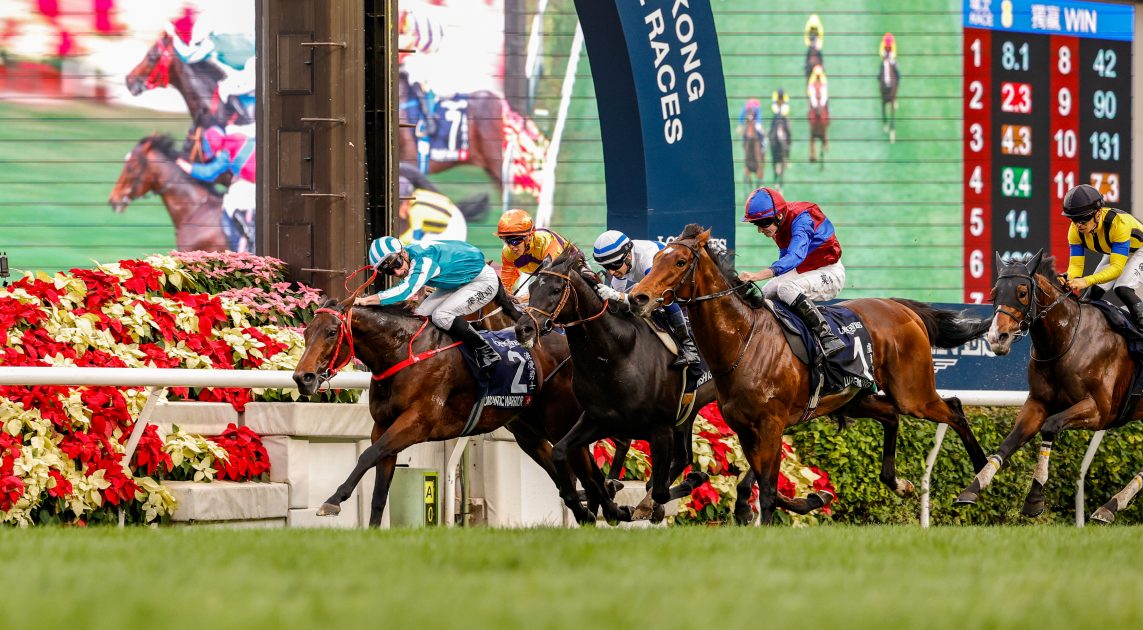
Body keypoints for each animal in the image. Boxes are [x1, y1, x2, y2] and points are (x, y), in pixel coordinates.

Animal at [294, 294, 617, 528]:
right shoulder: (383, 427)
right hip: (528, 430)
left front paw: (333, 500)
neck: (402, 353)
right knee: (563, 469)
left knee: (585, 470)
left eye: (332, 332)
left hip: (561, 421)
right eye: (307, 331)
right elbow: (378, 488)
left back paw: (606, 509)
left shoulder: (417, 423)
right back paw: (595, 512)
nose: (302, 378)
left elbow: (367, 455)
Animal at [516, 249, 754, 525]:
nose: (523, 328)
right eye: (532, 288)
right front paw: (585, 508)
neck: (618, 355)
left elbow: (659, 490)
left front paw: (644, 503)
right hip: (689, 410)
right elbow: (561, 454)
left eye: (555, 289)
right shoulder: (597, 421)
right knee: (685, 455)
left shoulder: (660, 430)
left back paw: (743, 504)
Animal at [630, 224, 996, 525]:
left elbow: (767, 489)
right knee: (892, 415)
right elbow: (767, 486)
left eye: (679, 262)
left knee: (954, 409)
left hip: (913, 393)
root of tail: (902, 307)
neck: (743, 341)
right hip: (853, 398)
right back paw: (899, 483)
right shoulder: (745, 428)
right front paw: (813, 498)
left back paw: (979, 478)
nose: (638, 297)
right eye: (656, 258)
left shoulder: (771, 424)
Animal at [950, 251, 1143, 523]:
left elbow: (1051, 426)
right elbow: (1011, 441)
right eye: (993, 293)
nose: (996, 338)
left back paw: (1112, 504)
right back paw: (1111, 505)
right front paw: (972, 488)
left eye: (1022, 292)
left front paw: (1034, 498)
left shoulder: (1100, 411)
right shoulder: (1037, 403)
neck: (1067, 339)